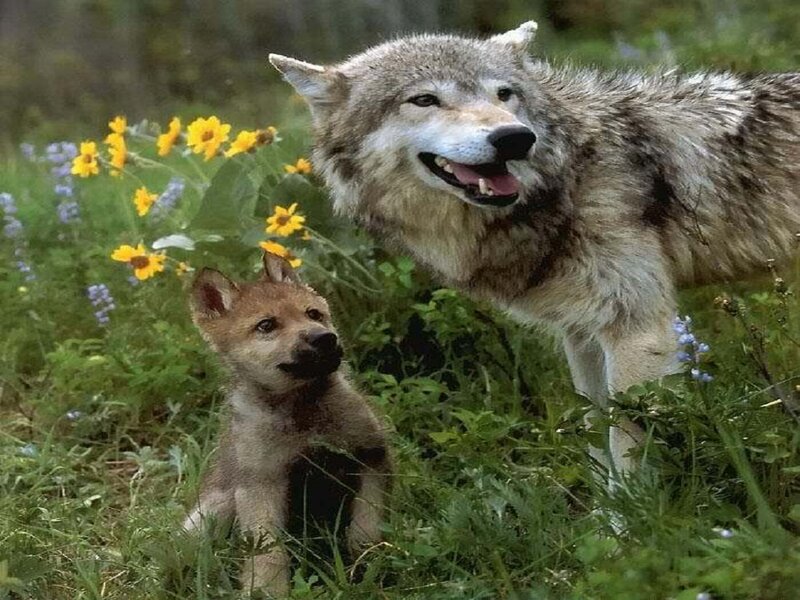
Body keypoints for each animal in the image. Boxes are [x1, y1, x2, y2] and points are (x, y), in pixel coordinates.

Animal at [184, 252, 390, 597]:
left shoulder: (369, 453)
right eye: (266, 325)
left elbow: (368, 518)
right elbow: (268, 551)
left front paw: (368, 559)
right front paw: (267, 591)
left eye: (313, 313)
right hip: (213, 510)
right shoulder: (260, 483)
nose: (325, 338)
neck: (301, 411)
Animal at [268, 22, 800, 484]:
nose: (514, 138)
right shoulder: (582, 334)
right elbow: (596, 434)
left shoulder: (637, 331)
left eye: (504, 94)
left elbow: (627, 451)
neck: (572, 175)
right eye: (424, 99)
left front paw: (634, 528)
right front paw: (607, 519)